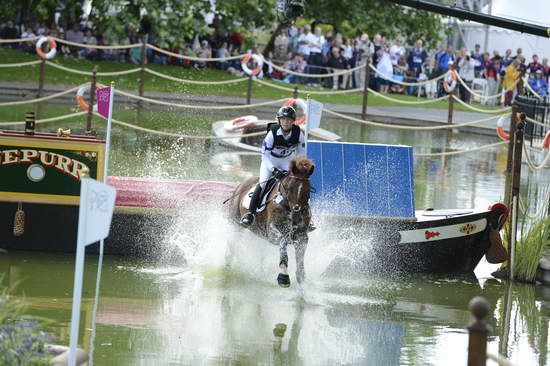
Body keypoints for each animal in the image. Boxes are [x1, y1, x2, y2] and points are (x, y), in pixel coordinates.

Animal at [226, 156, 316, 288]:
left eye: (308, 189)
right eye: (289, 188)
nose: (297, 214)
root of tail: (241, 184)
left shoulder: (302, 237)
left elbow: (300, 262)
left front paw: (301, 280)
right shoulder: (273, 233)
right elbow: (283, 241)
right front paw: (283, 277)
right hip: (236, 224)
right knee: (232, 243)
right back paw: (226, 265)